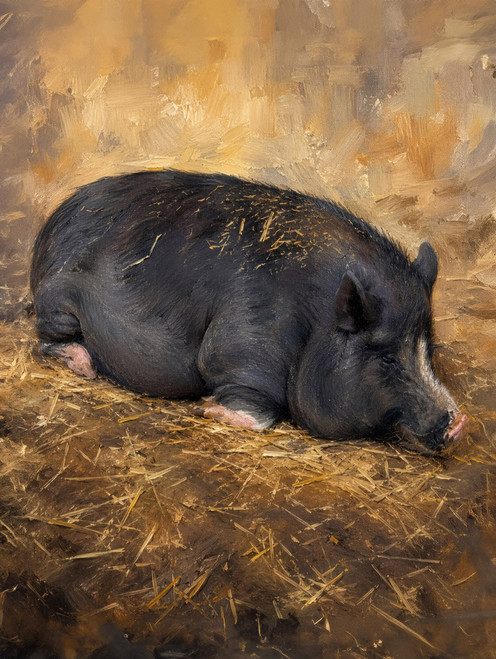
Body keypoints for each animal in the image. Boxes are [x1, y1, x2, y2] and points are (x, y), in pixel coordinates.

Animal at [30, 170, 468, 453]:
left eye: (429, 350)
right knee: (47, 339)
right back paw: (83, 365)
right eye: (387, 357)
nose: (460, 422)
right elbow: (255, 399)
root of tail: (50, 228)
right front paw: (208, 409)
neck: (316, 321)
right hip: (59, 301)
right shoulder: (245, 340)